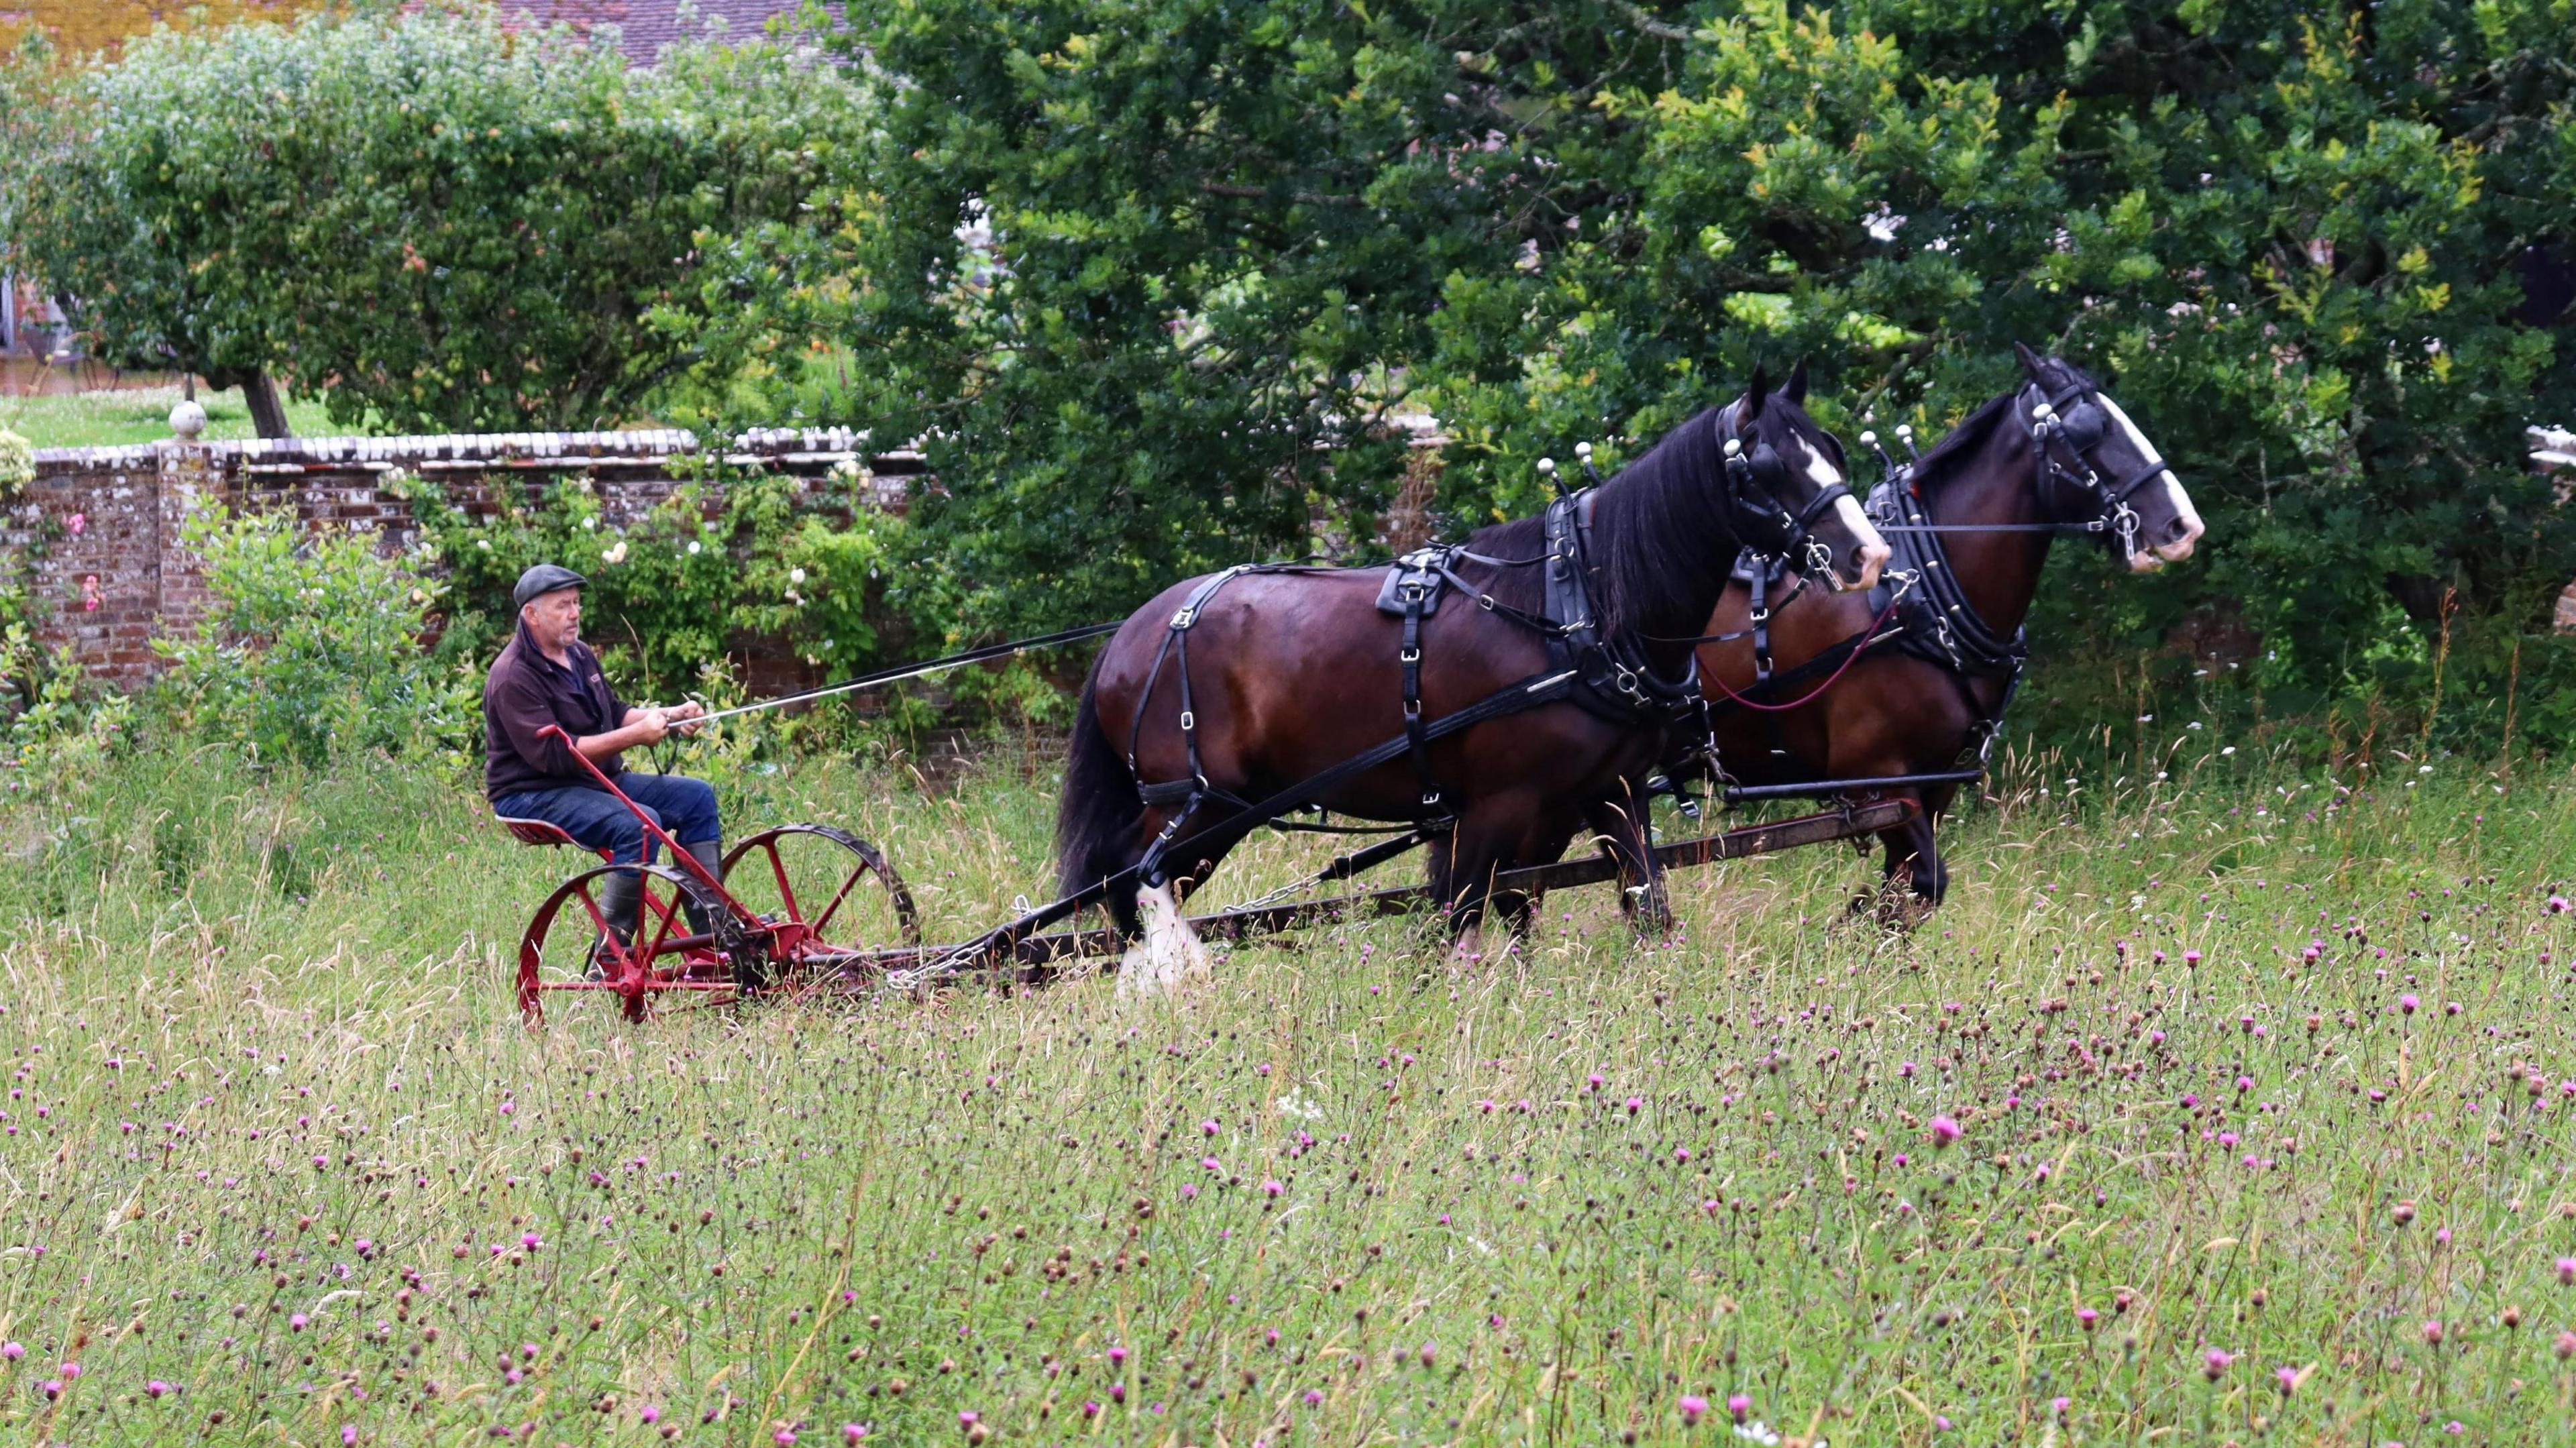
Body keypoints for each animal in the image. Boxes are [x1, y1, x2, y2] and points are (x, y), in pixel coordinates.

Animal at [1051, 366, 1896, 984]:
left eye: (1832, 448)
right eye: (1767, 465)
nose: (1871, 555)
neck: (1578, 606)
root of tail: (1136, 630)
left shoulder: (1606, 793)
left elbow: (1633, 906)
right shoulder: (1494, 805)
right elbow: (1454, 921)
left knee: (1121, 893)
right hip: (1198, 805)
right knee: (1133, 883)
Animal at [1690, 347, 2215, 911]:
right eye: (2090, 430)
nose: (2183, 526)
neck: (1917, 597)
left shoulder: (1935, 778)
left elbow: (1907, 893)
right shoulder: (1877, 776)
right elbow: (1923, 883)